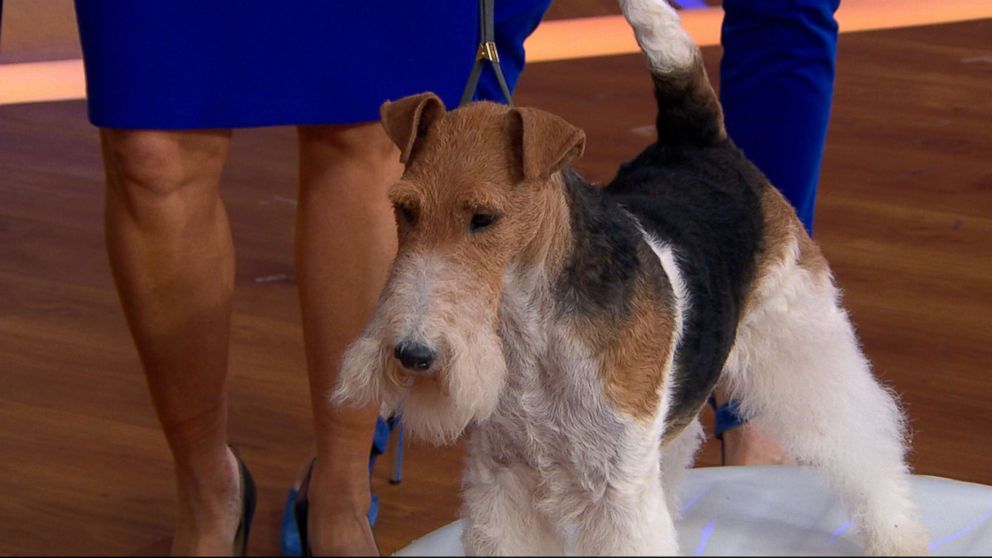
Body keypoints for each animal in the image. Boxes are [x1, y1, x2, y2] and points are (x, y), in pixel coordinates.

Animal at [336, 0, 928, 556]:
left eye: (484, 218)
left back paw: (898, 536)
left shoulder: (614, 491)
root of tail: (698, 140)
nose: (412, 354)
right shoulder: (502, 480)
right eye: (404, 209)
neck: (531, 331)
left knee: (864, 435)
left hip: (801, 337)